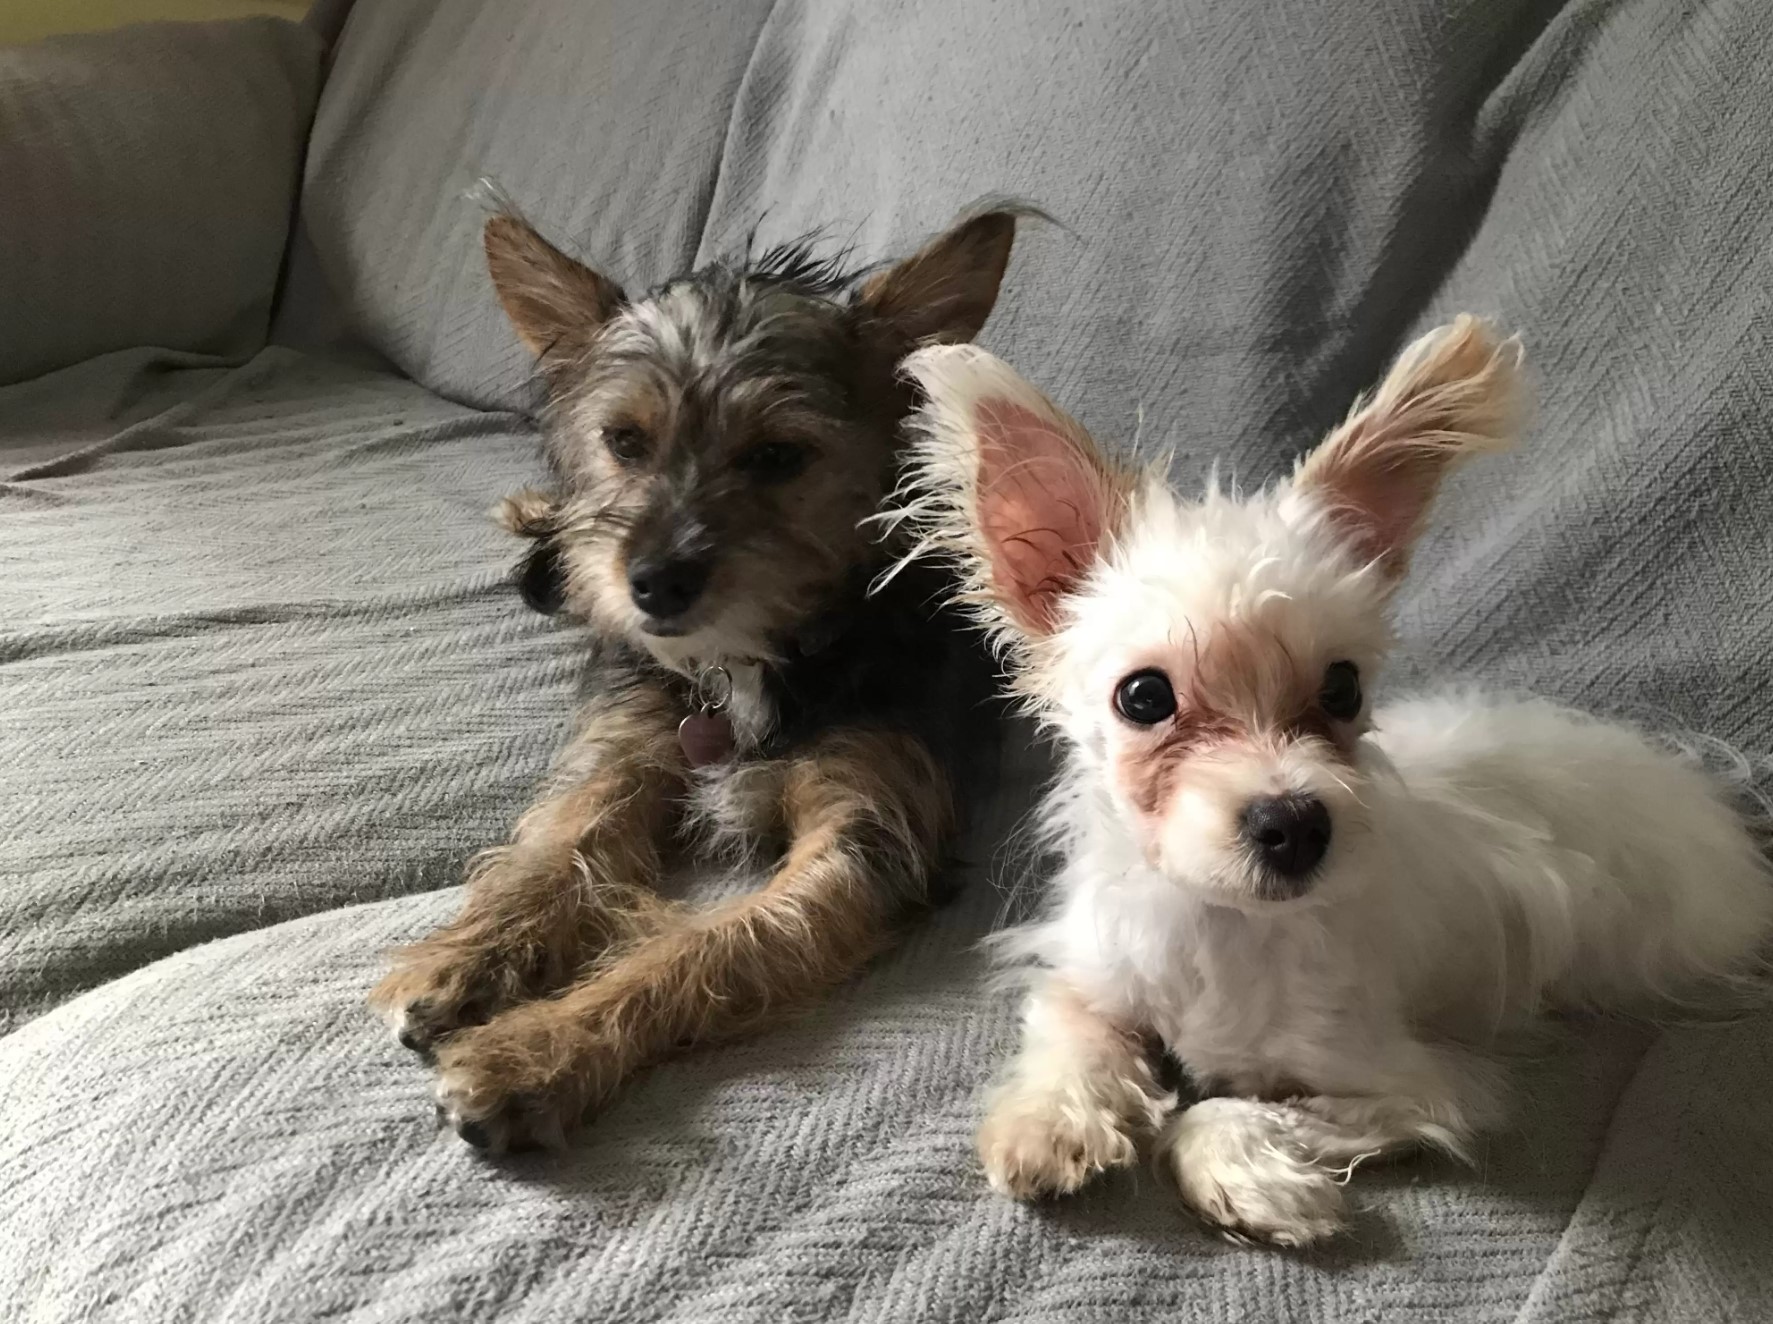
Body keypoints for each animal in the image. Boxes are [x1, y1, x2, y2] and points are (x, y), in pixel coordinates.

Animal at [893, 319, 1765, 1240]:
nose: (1294, 824)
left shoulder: (1425, 1086)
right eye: (1143, 697)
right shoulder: (1089, 973)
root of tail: (1696, 778)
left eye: (1342, 688)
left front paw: (1252, 1182)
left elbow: (1224, 1109)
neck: (1218, 927)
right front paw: (1049, 1121)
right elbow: (1070, 1028)